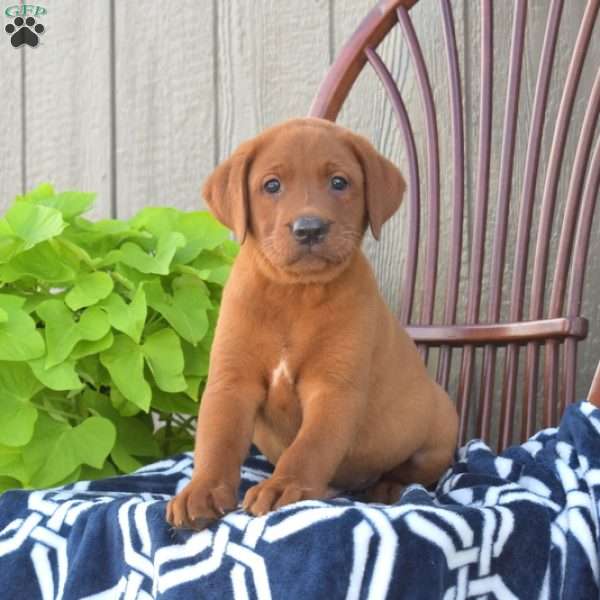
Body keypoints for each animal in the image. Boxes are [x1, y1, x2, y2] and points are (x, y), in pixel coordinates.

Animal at [166, 118, 458, 528]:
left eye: (339, 182)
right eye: (272, 185)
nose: (309, 228)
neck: (294, 294)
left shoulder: (334, 388)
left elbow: (310, 446)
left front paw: (283, 486)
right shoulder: (230, 382)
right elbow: (216, 443)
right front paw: (202, 490)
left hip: (439, 426)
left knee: (411, 469)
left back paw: (387, 487)